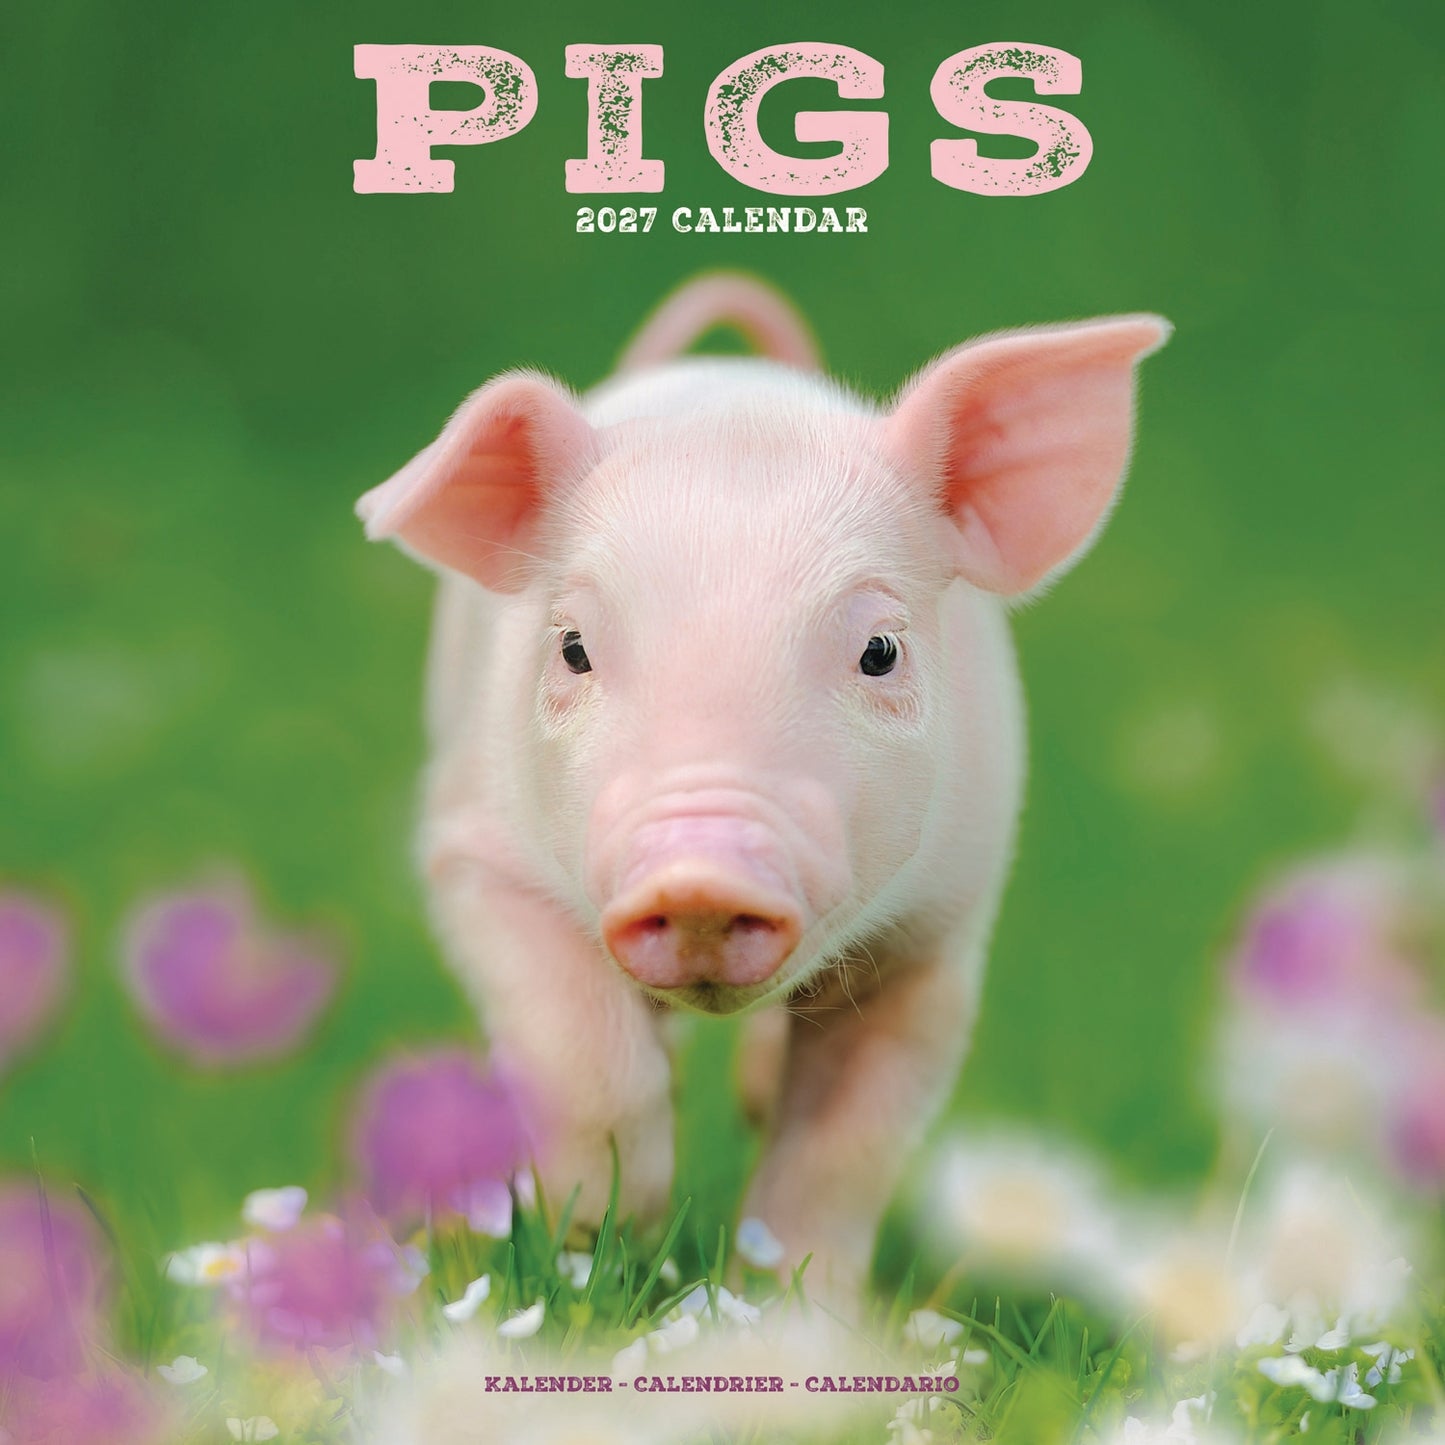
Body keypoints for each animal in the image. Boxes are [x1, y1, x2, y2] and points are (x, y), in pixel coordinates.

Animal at [356, 272, 1169, 1303]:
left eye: (879, 649)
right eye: (573, 647)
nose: (700, 876)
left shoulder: (938, 926)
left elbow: (846, 1142)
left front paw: (787, 1308)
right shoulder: (473, 850)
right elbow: (584, 1056)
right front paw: (597, 1237)